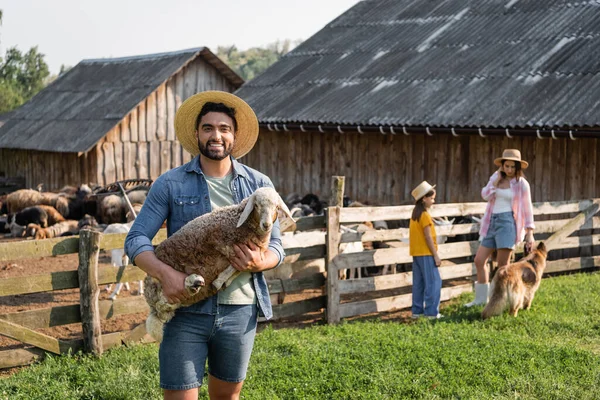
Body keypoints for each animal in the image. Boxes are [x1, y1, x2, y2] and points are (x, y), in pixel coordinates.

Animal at [146, 187, 296, 340]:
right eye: (257, 205)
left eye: (276, 207)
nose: (266, 225)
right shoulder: (224, 245)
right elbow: (233, 266)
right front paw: (219, 281)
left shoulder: (249, 254)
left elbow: (238, 268)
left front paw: (223, 281)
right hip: (157, 283)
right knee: (161, 305)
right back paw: (192, 281)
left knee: (165, 310)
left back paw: (196, 284)